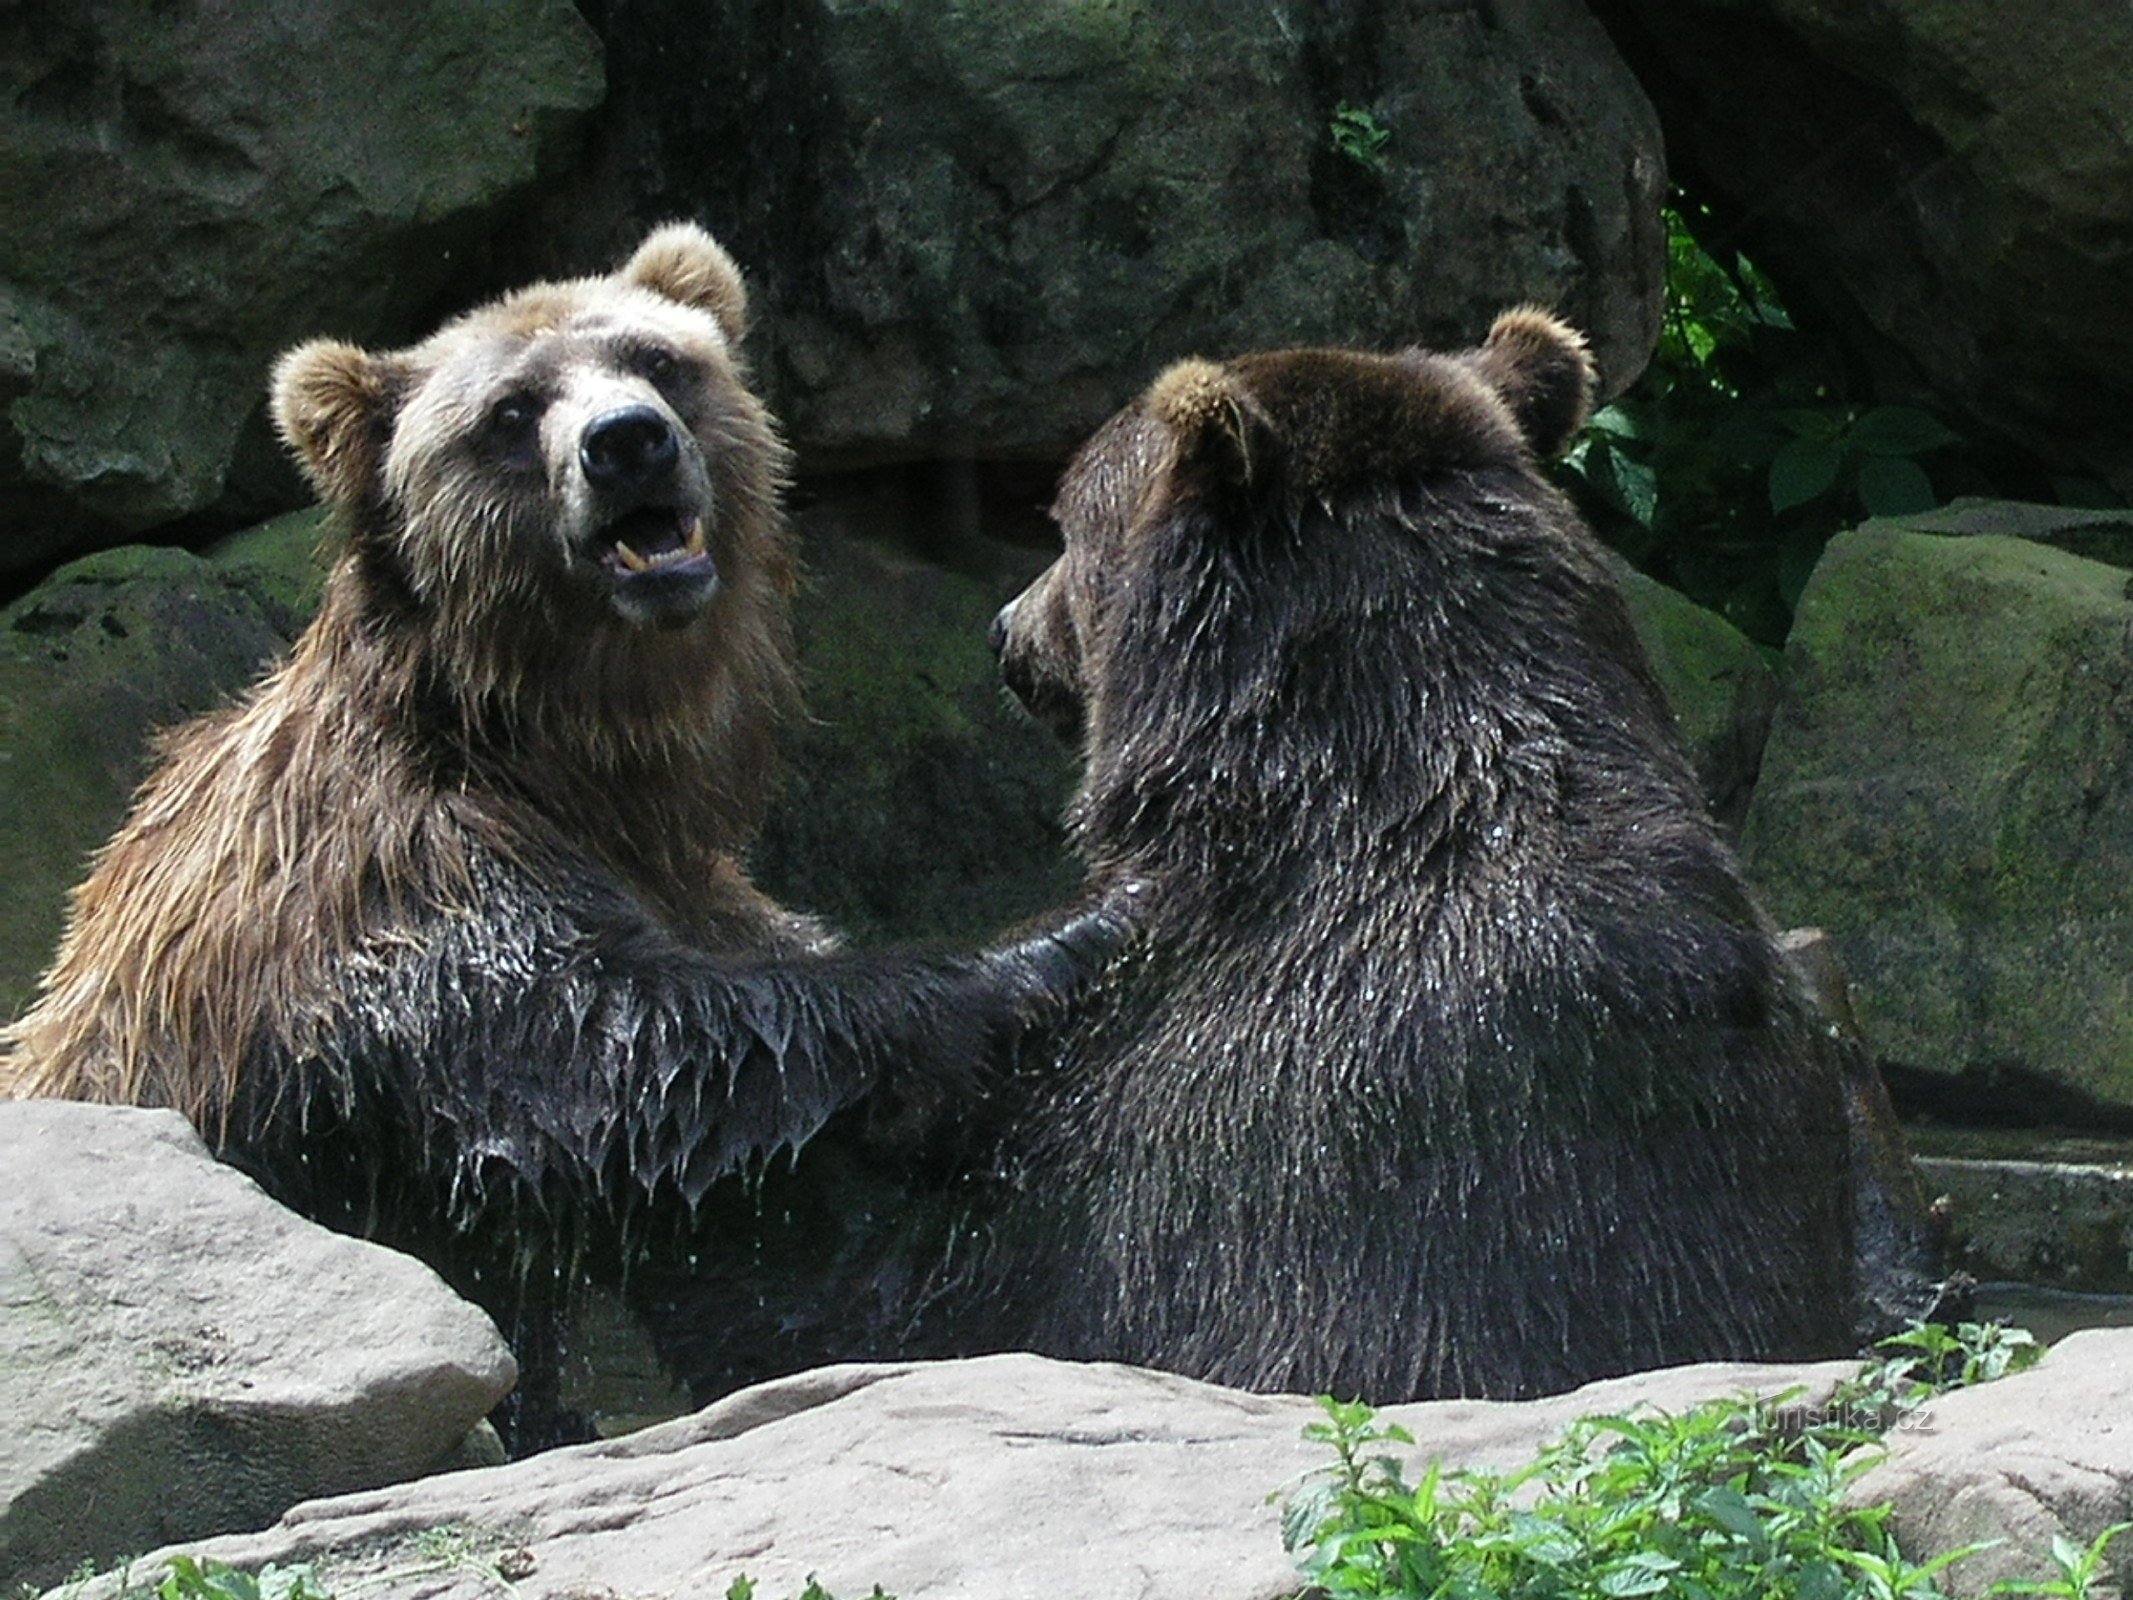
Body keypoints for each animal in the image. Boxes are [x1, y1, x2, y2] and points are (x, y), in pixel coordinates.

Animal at [0, 226, 1126, 1365]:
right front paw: (1059, 936)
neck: (551, 749)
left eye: (661, 359)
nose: (628, 442)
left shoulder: (669, 868)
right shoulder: (393, 875)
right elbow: (619, 1054)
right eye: (508, 411)